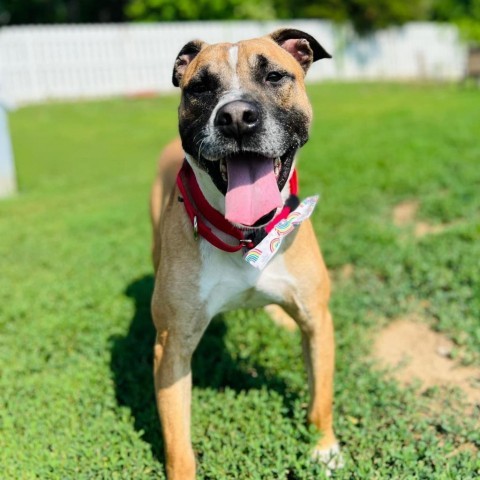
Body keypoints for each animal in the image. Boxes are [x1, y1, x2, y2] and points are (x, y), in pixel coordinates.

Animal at [150, 29, 342, 480]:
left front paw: (324, 448)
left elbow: (320, 397)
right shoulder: (171, 348)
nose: (236, 116)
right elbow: (176, 437)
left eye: (274, 76)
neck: (246, 238)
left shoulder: (318, 320)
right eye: (201, 87)